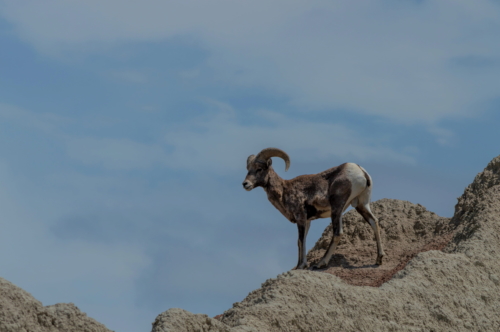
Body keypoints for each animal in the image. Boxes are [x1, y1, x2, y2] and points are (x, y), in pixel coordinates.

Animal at [242, 148, 386, 270]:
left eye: (259, 169)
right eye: (248, 169)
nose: (245, 184)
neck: (284, 190)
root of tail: (361, 171)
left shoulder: (301, 217)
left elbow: (301, 240)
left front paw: (301, 266)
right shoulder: (308, 221)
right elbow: (301, 241)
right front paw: (298, 266)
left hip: (337, 209)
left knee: (338, 233)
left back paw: (320, 263)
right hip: (362, 205)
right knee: (374, 222)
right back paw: (379, 259)